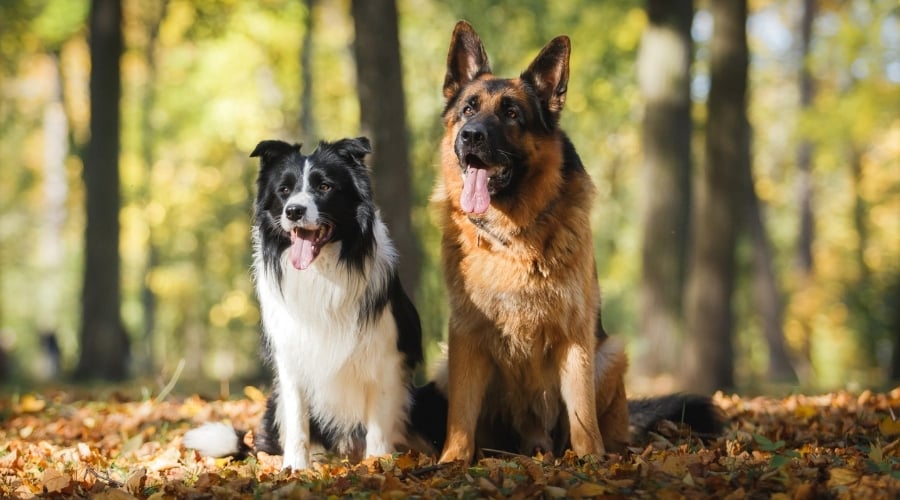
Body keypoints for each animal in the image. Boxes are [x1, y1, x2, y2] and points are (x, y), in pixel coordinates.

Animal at [185, 136, 424, 468]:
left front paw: (377, 464)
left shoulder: (386, 356)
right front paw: (295, 468)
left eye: (324, 186)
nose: (294, 211)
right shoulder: (291, 356)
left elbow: (378, 424)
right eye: (284, 190)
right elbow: (298, 421)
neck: (321, 271)